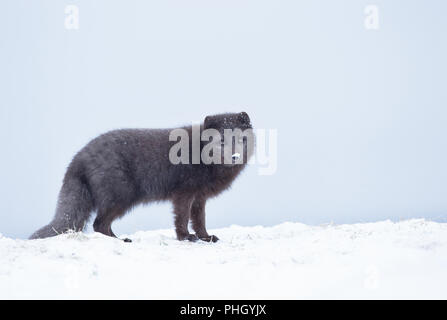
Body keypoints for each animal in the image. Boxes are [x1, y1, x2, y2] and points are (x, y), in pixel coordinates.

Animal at [30, 112, 256, 242]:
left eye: (241, 139)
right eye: (221, 142)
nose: (234, 156)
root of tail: (78, 157)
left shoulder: (200, 197)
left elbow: (199, 220)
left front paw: (206, 238)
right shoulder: (184, 193)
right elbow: (182, 218)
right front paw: (185, 237)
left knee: (100, 224)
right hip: (121, 197)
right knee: (98, 224)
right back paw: (120, 241)